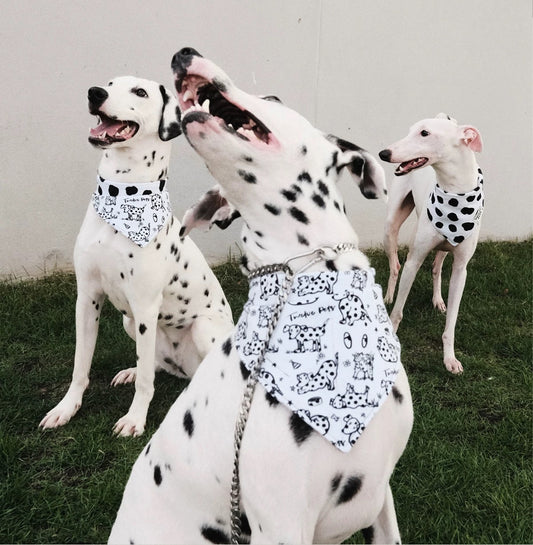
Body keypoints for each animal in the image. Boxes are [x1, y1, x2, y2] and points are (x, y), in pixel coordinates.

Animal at [39, 76, 233, 436]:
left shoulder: (144, 306)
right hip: (129, 322)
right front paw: (66, 409)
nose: (95, 93)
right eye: (109, 83)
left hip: (200, 327)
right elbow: (80, 365)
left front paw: (134, 419)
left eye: (140, 92)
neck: (121, 194)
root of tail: (185, 370)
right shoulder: (87, 298)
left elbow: (146, 383)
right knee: (153, 364)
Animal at [378, 112, 482, 372]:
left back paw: (438, 300)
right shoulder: (414, 260)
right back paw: (388, 296)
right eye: (410, 130)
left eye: (424, 133)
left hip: (444, 249)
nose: (384, 153)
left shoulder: (461, 269)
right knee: (395, 266)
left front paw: (450, 359)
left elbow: (451, 322)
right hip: (390, 229)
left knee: (436, 268)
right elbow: (398, 312)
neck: (454, 193)